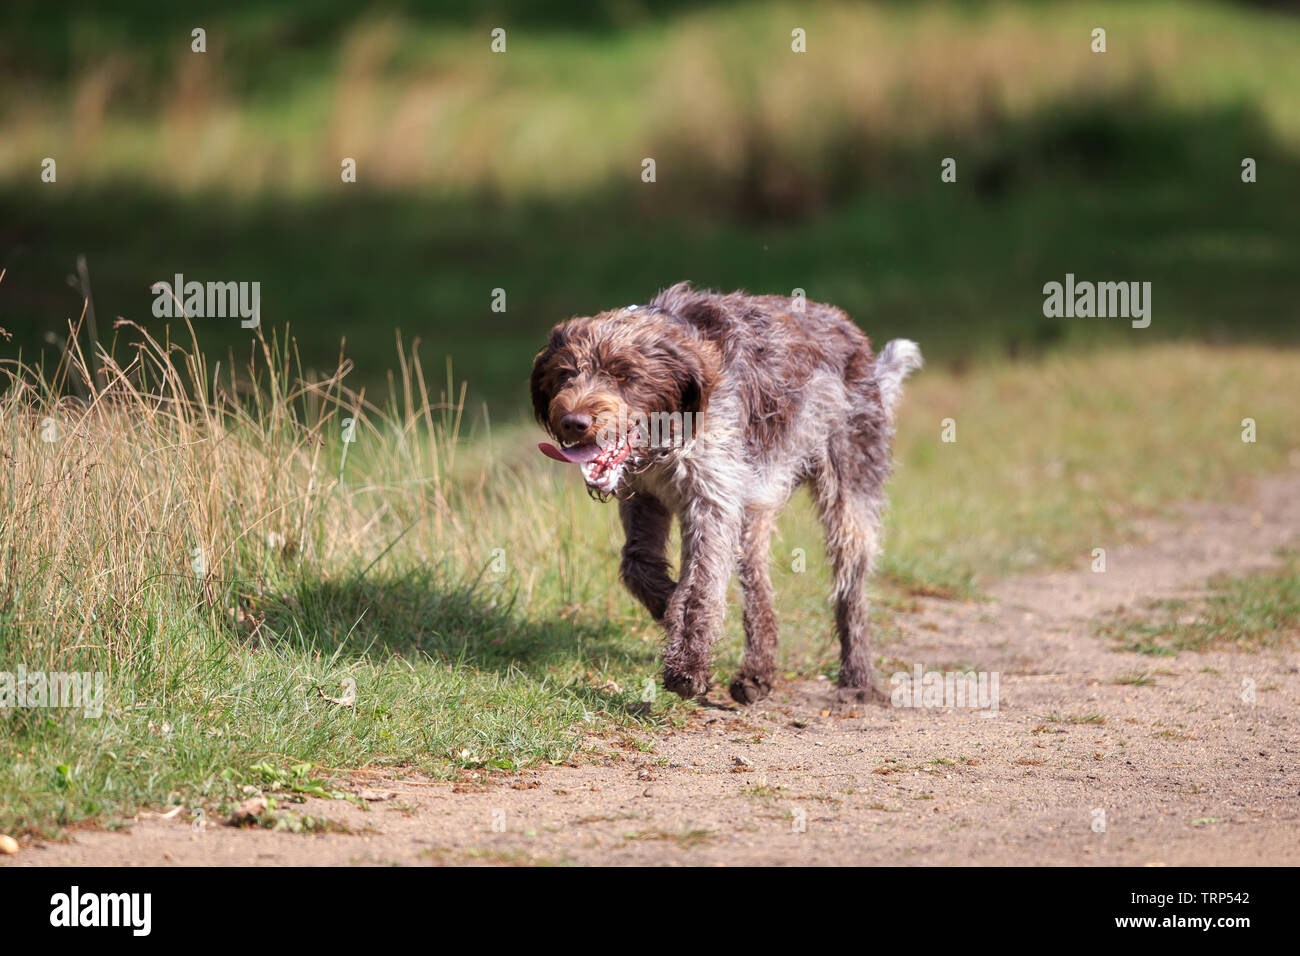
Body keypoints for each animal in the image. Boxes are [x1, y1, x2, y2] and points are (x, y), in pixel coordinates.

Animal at [530, 280, 925, 707]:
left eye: (624, 374)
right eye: (564, 374)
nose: (573, 422)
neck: (666, 434)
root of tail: (850, 332)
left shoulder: (711, 499)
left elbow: (700, 586)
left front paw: (687, 667)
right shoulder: (645, 497)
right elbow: (637, 565)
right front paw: (666, 603)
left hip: (847, 493)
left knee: (850, 588)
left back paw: (857, 678)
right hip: (755, 503)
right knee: (758, 584)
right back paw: (757, 673)